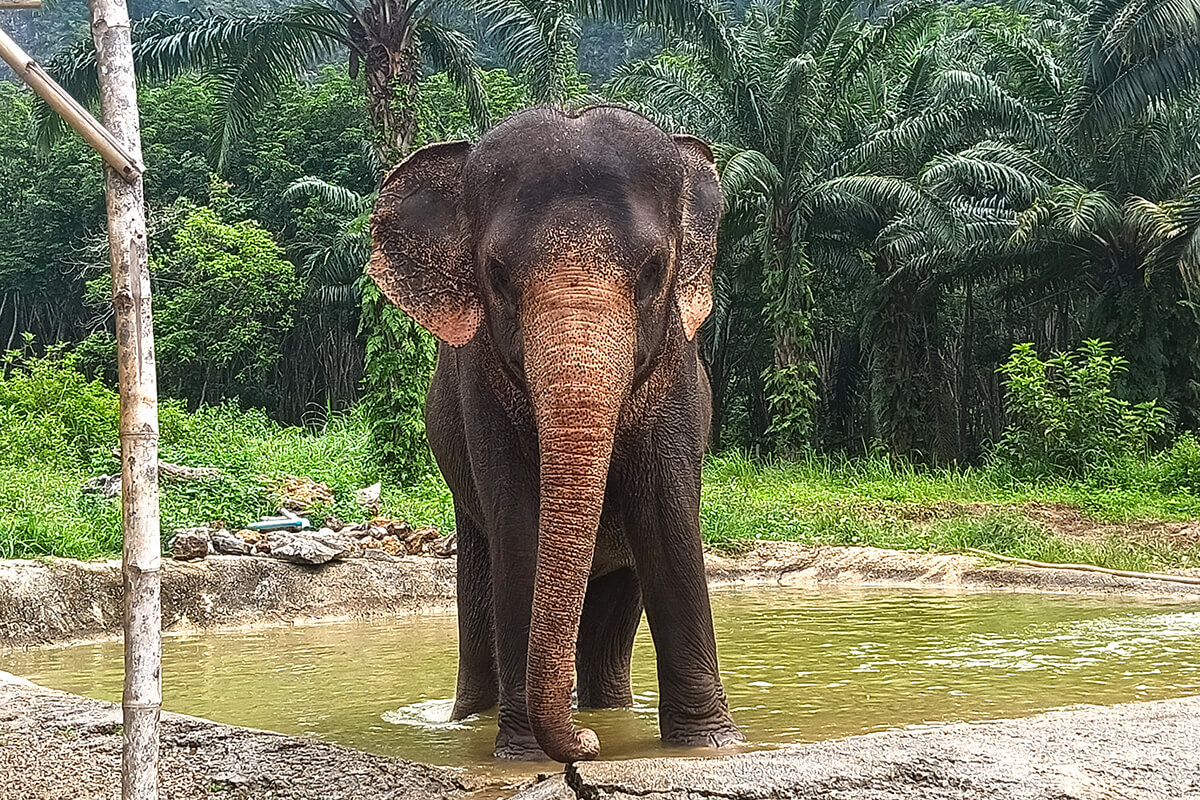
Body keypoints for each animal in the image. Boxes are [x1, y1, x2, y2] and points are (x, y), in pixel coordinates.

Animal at [367, 104, 739, 762]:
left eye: (655, 270)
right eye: (495, 273)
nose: (586, 747)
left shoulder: (676, 375)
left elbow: (666, 515)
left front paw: (709, 747)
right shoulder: (483, 389)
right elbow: (522, 521)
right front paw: (523, 754)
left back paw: (605, 710)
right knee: (481, 579)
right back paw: (478, 718)